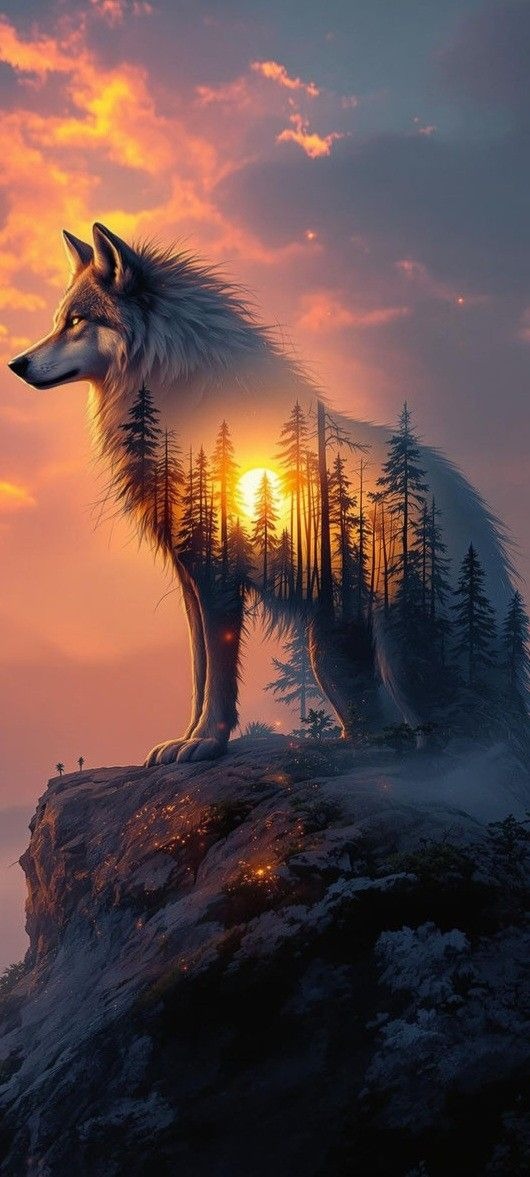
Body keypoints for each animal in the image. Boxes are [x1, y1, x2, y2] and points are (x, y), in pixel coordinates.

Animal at [8, 223, 516, 764]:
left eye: (76, 322)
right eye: (58, 321)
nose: (16, 364)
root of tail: (478, 518)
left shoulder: (217, 573)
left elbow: (218, 675)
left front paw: (206, 742)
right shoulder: (191, 577)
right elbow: (199, 672)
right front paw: (185, 737)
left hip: (402, 656)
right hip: (329, 658)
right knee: (380, 733)